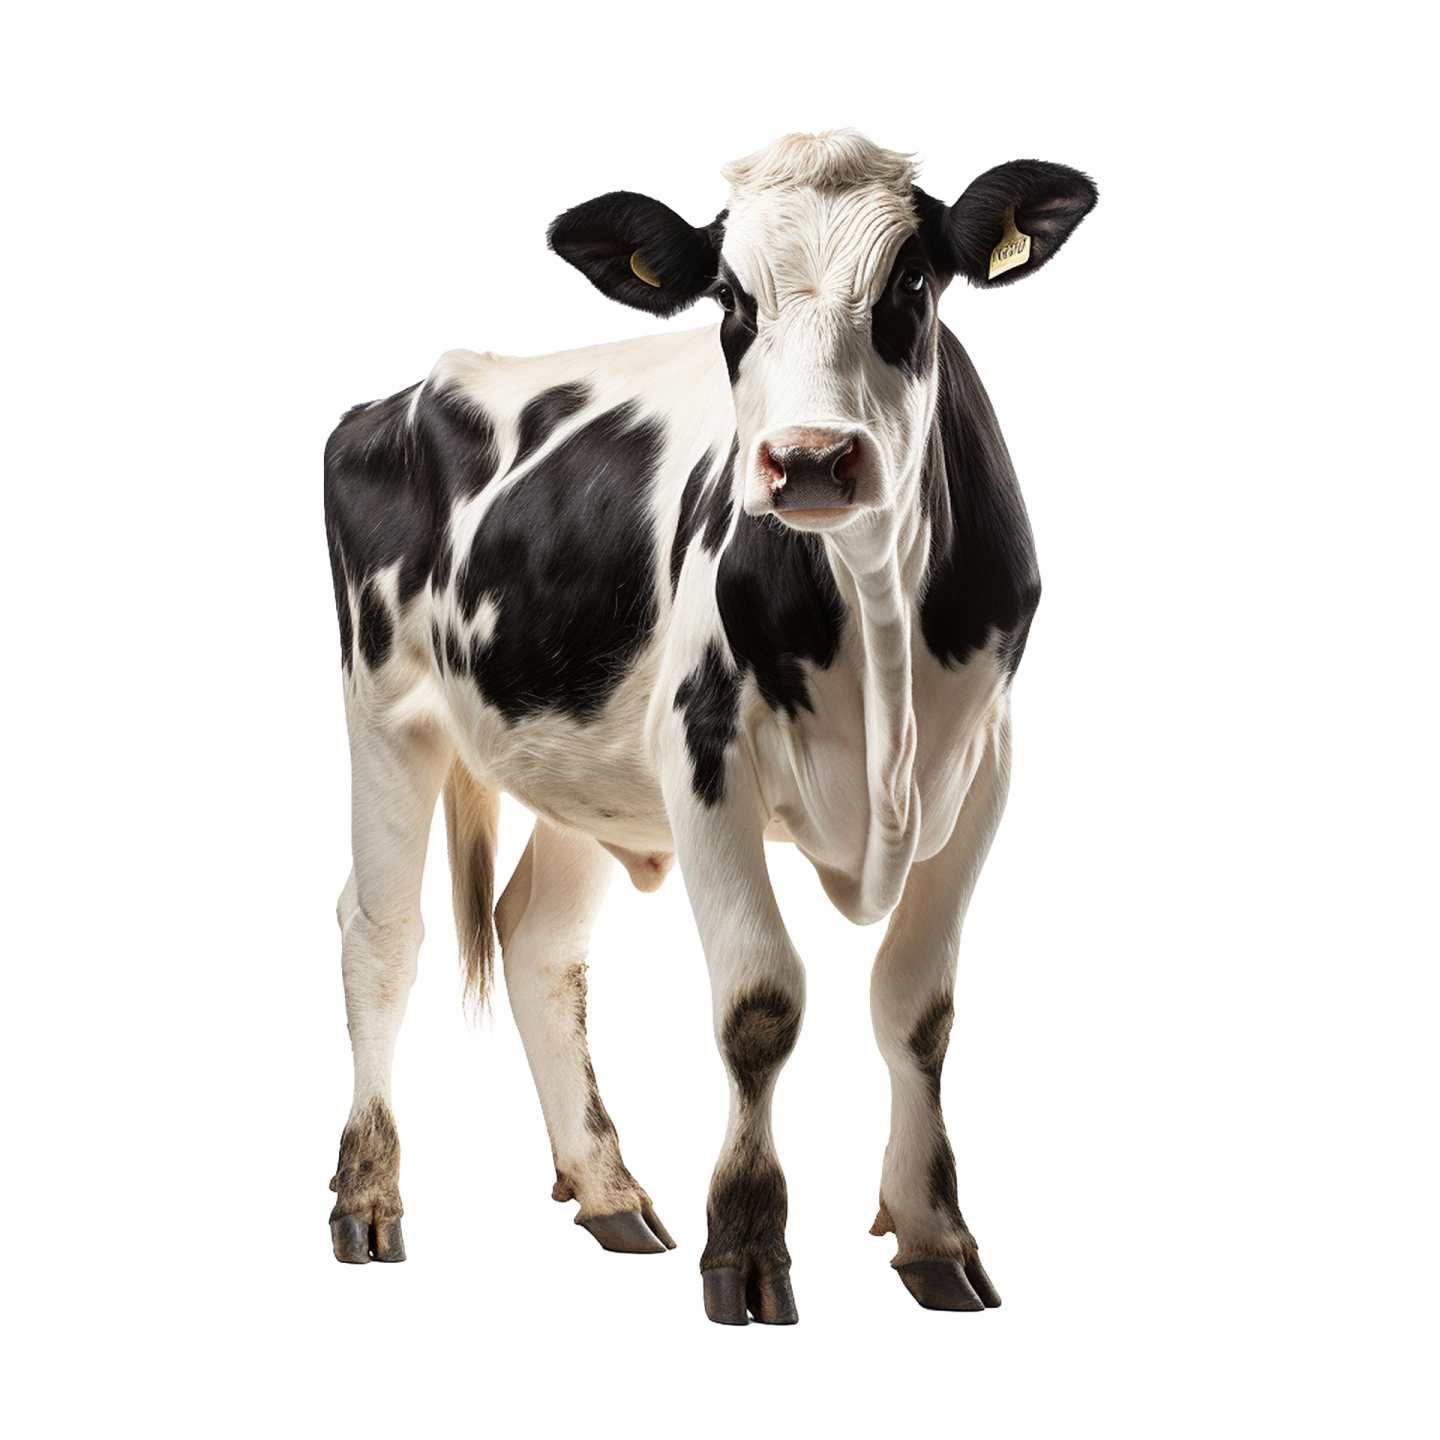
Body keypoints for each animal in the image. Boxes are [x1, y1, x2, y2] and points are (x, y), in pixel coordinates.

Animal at [322, 128, 1097, 1323]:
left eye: (913, 286)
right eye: (729, 301)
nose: (812, 459)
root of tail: (397, 398)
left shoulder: (983, 770)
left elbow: (917, 1010)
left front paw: (934, 1240)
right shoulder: (704, 754)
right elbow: (761, 1003)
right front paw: (745, 1244)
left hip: (584, 768)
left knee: (541, 941)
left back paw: (608, 1194)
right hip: (389, 709)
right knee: (380, 933)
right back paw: (368, 1198)